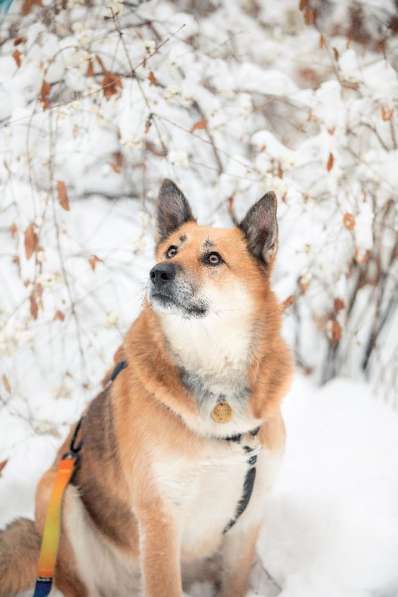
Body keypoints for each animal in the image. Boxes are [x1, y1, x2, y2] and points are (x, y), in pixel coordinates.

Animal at [0, 179, 292, 592]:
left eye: (213, 258)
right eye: (171, 249)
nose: (158, 272)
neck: (215, 381)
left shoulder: (246, 524)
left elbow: (234, 584)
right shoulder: (160, 518)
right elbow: (164, 584)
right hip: (58, 494)